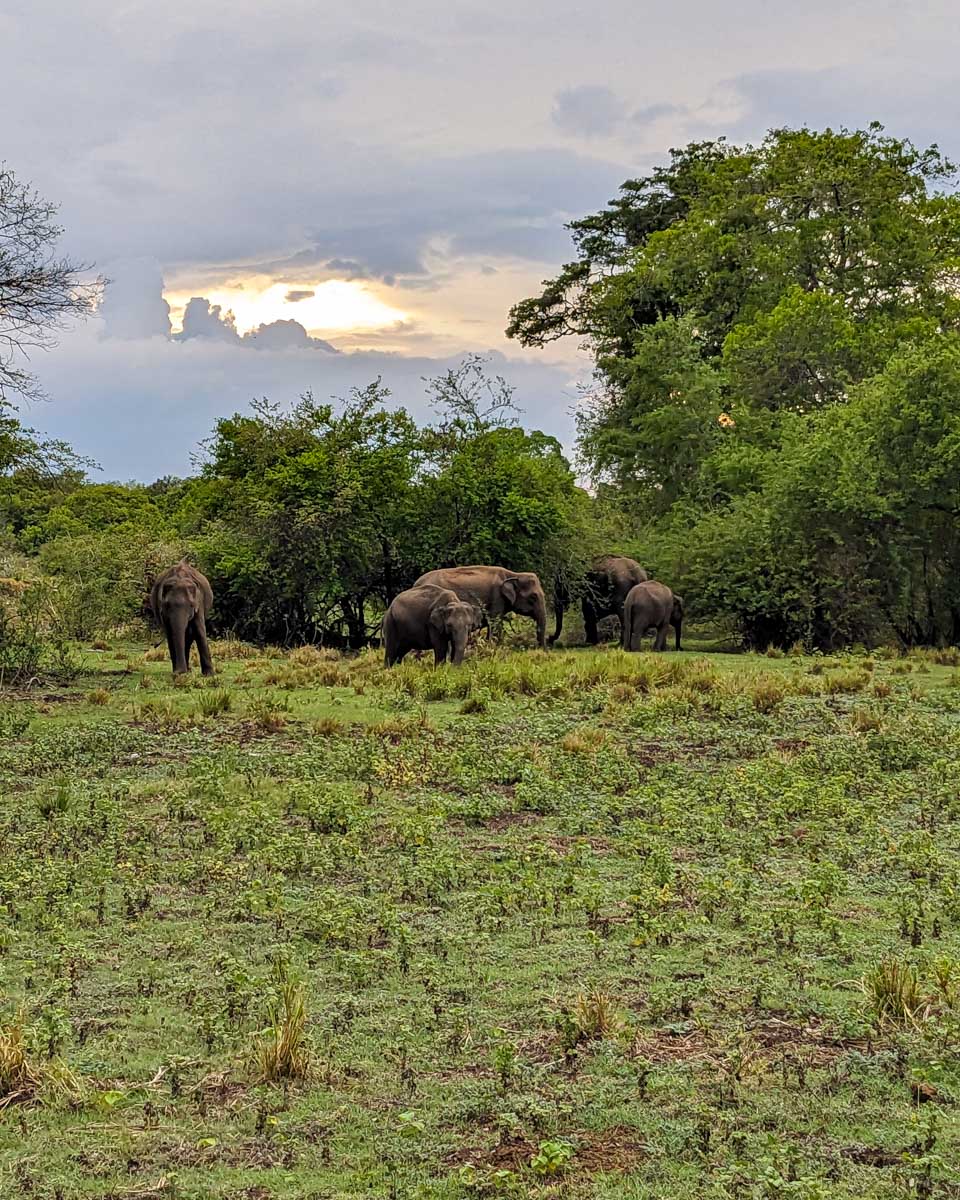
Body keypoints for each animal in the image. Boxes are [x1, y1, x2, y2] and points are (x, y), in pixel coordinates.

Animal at [413, 565, 548, 649]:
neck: (513, 574)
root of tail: (415, 584)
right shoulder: (497, 597)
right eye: (533, 597)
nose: (541, 650)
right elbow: (495, 623)